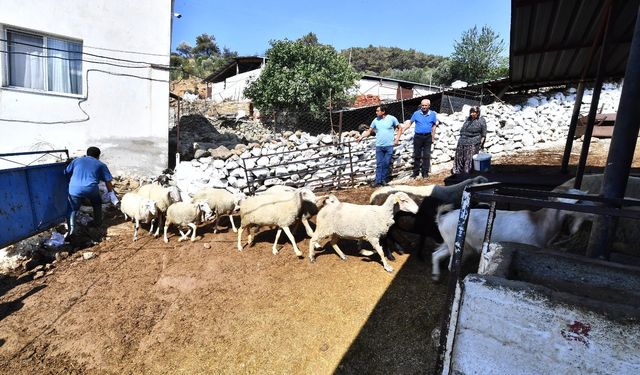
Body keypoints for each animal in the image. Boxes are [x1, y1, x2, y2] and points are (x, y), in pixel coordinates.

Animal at [432, 189, 588, 280]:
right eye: (577, 200)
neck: (538, 223)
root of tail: (442, 218)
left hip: (449, 242)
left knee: (436, 254)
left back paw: (436, 276)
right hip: (459, 245)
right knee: (450, 264)